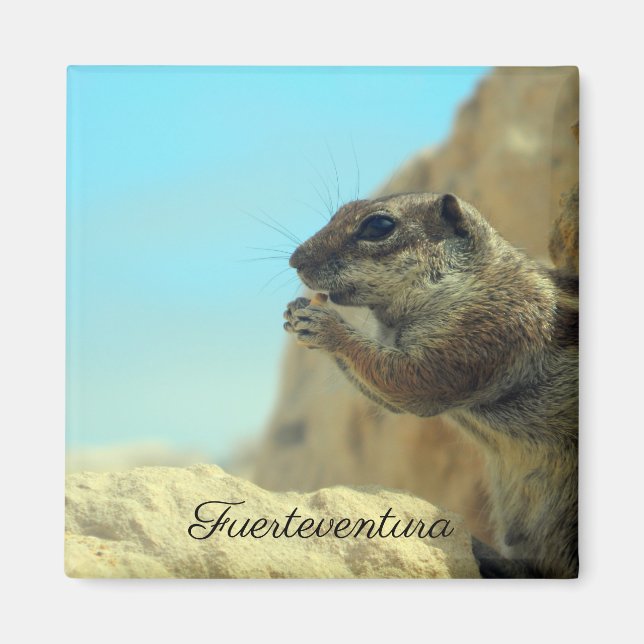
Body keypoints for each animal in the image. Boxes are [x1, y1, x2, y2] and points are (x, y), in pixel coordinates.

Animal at [283, 192, 578, 579]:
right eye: (341, 211)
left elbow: (412, 381)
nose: (295, 260)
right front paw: (295, 310)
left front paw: (326, 326)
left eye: (378, 226)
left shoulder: (487, 328)